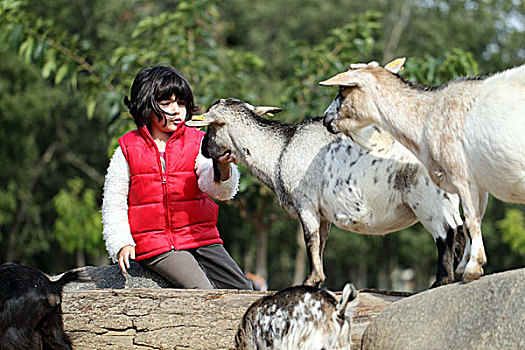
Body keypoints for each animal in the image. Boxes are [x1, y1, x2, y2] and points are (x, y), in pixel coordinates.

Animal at [185, 96, 462, 288]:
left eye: (209, 128)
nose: (204, 150)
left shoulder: (305, 204)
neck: (282, 149)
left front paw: (310, 281)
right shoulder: (323, 214)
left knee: (445, 234)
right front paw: (319, 279)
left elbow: (309, 239)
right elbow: (320, 243)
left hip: (426, 200)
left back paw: (441, 280)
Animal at [320, 57, 524, 282]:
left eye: (342, 90)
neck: (427, 115)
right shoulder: (479, 182)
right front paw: (464, 266)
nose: (326, 118)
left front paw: (473, 268)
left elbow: (471, 219)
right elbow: (474, 219)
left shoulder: (461, 173)